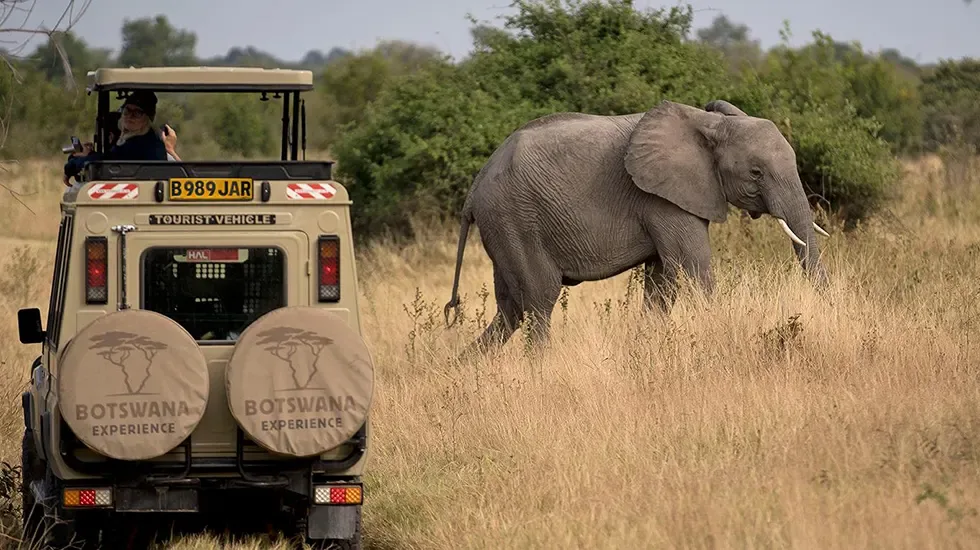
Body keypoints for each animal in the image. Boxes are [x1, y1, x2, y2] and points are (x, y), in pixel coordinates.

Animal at [443, 99, 829, 353]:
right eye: (756, 173)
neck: (706, 123)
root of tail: (474, 188)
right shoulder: (660, 198)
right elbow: (692, 267)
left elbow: (663, 281)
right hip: (515, 220)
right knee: (538, 300)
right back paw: (540, 369)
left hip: (505, 226)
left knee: (511, 308)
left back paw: (463, 368)